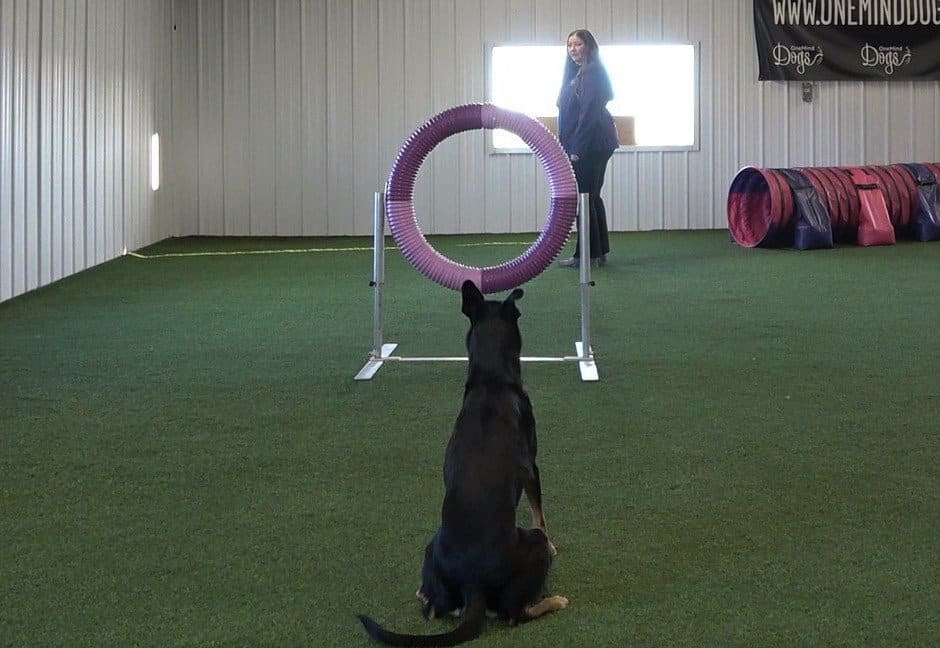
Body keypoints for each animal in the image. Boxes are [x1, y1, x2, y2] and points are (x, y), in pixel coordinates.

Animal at [358, 280, 564, 644]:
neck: (491, 381)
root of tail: (474, 584)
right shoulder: (533, 469)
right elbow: (541, 515)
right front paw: (555, 546)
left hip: (430, 548)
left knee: (432, 609)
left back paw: (423, 593)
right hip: (530, 550)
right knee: (516, 614)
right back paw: (555, 600)